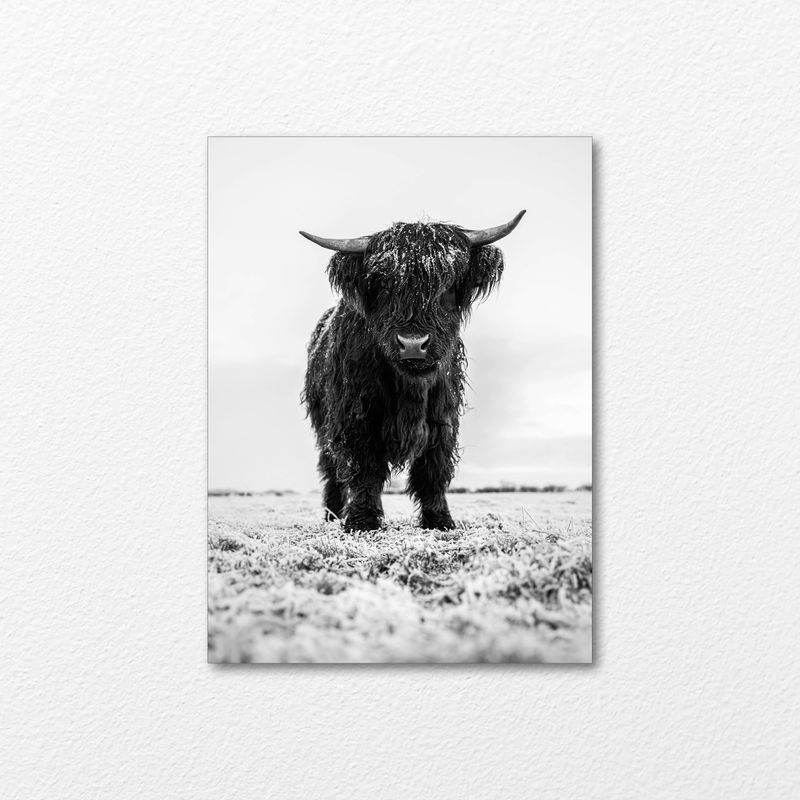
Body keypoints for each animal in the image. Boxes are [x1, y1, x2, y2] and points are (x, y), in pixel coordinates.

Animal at [300, 211, 525, 531]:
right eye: (383, 285)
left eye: (447, 285)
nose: (413, 344)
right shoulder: (354, 417)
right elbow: (363, 469)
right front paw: (361, 521)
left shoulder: (443, 418)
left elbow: (433, 469)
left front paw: (439, 520)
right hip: (324, 426)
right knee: (331, 468)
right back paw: (332, 514)